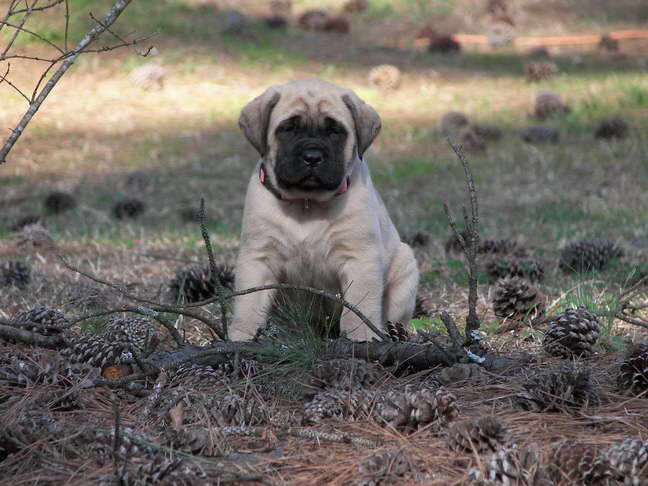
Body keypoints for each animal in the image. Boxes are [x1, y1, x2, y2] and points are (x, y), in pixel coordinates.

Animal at [230, 78, 418, 340]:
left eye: (335, 132)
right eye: (288, 129)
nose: (312, 156)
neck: (307, 204)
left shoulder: (360, 259)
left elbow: (360, 306)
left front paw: (362, 338)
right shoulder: (258, 258)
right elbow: (248, 305)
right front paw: (241, 338)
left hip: (405, 269)